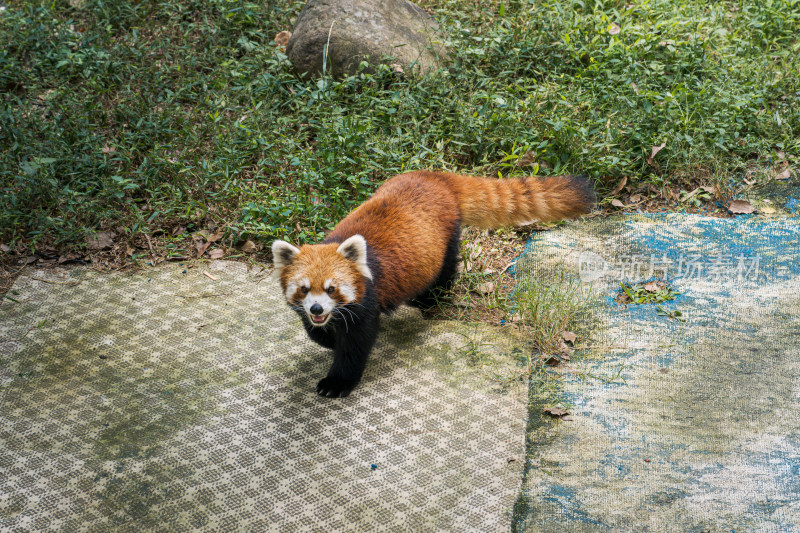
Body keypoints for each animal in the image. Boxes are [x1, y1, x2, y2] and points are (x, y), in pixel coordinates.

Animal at [276, 169, 592, 394]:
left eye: (332, 289)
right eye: (304, 289)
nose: (317, 309)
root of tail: (435, 176)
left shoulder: (367, 299)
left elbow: (356, 346)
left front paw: (337, 381)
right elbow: (315, 332)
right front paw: (327, 339)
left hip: (445, 238)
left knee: (447, 267)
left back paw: (431, 298)